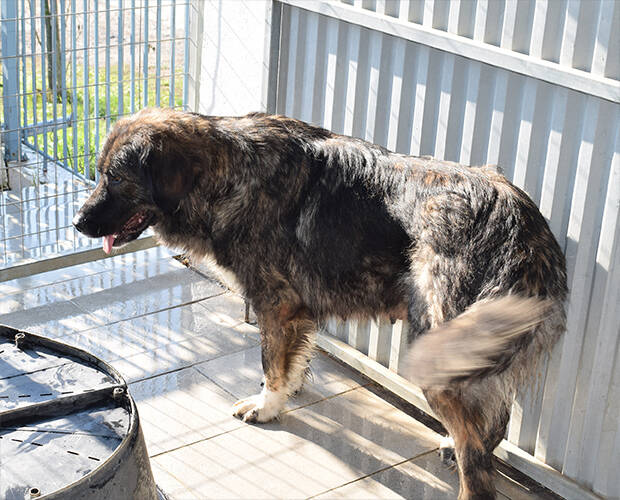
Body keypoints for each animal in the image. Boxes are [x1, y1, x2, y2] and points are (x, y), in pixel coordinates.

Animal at [73, 108, 567, 499]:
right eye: (99, 171)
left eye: (115, 178)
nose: (77, 223)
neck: (228, 174)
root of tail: (521, 225)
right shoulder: (299, 312)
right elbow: (294, 359)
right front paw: (286, 392)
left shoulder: (276, 304)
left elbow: (271, 362)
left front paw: (266, 407)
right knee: (492, 423)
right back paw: (454, 440)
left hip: (439, 346)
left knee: (478, 464)